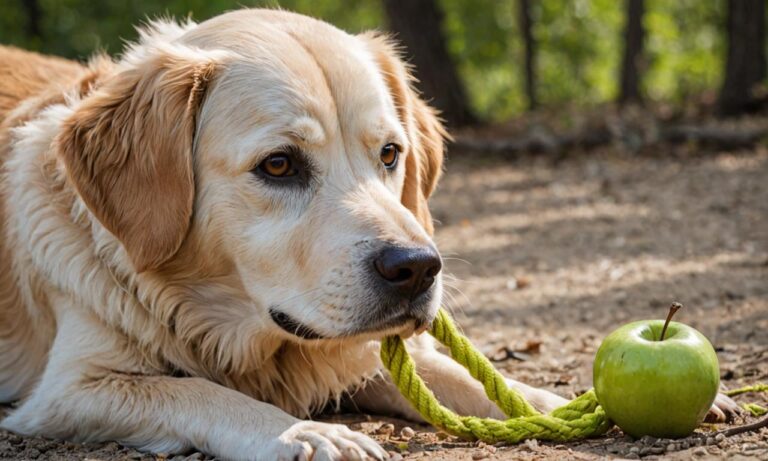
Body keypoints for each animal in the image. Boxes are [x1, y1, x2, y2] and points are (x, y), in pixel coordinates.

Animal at [0, 8, 736, 460]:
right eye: (278, 165)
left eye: (390, 154)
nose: (417, 267)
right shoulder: (67, 392)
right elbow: (195, 390)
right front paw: (305, 432)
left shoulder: (362, 352)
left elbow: (480, 381)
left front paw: (561, 403)